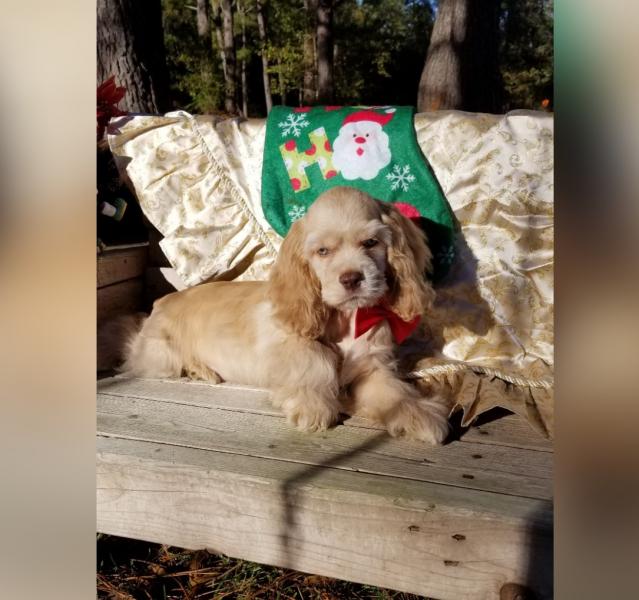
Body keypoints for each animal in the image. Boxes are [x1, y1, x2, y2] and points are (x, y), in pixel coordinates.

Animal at [121, 188, 450, 446]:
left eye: (370, 243)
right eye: (323, 251)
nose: (352, 278)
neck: (346, 317)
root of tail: (162, 300)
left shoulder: (373, 366)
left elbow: (394, 391)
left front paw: (419, 413)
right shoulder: (284, 346)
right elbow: (316, 357)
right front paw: (313, 406)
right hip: (161, 352)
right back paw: (199, 369)